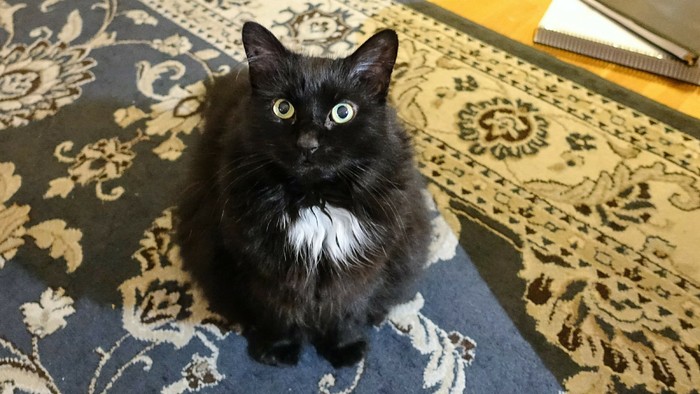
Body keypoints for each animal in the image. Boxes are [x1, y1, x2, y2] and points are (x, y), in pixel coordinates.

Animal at [178, 20, 430, 366]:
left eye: (342, 112)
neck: (315, 201)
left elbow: (347, 310)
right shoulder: (265, 269)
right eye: (282, 108)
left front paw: (344, 349)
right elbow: (278, 312)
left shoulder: (362, 269)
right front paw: (279, 349)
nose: (307, 144)